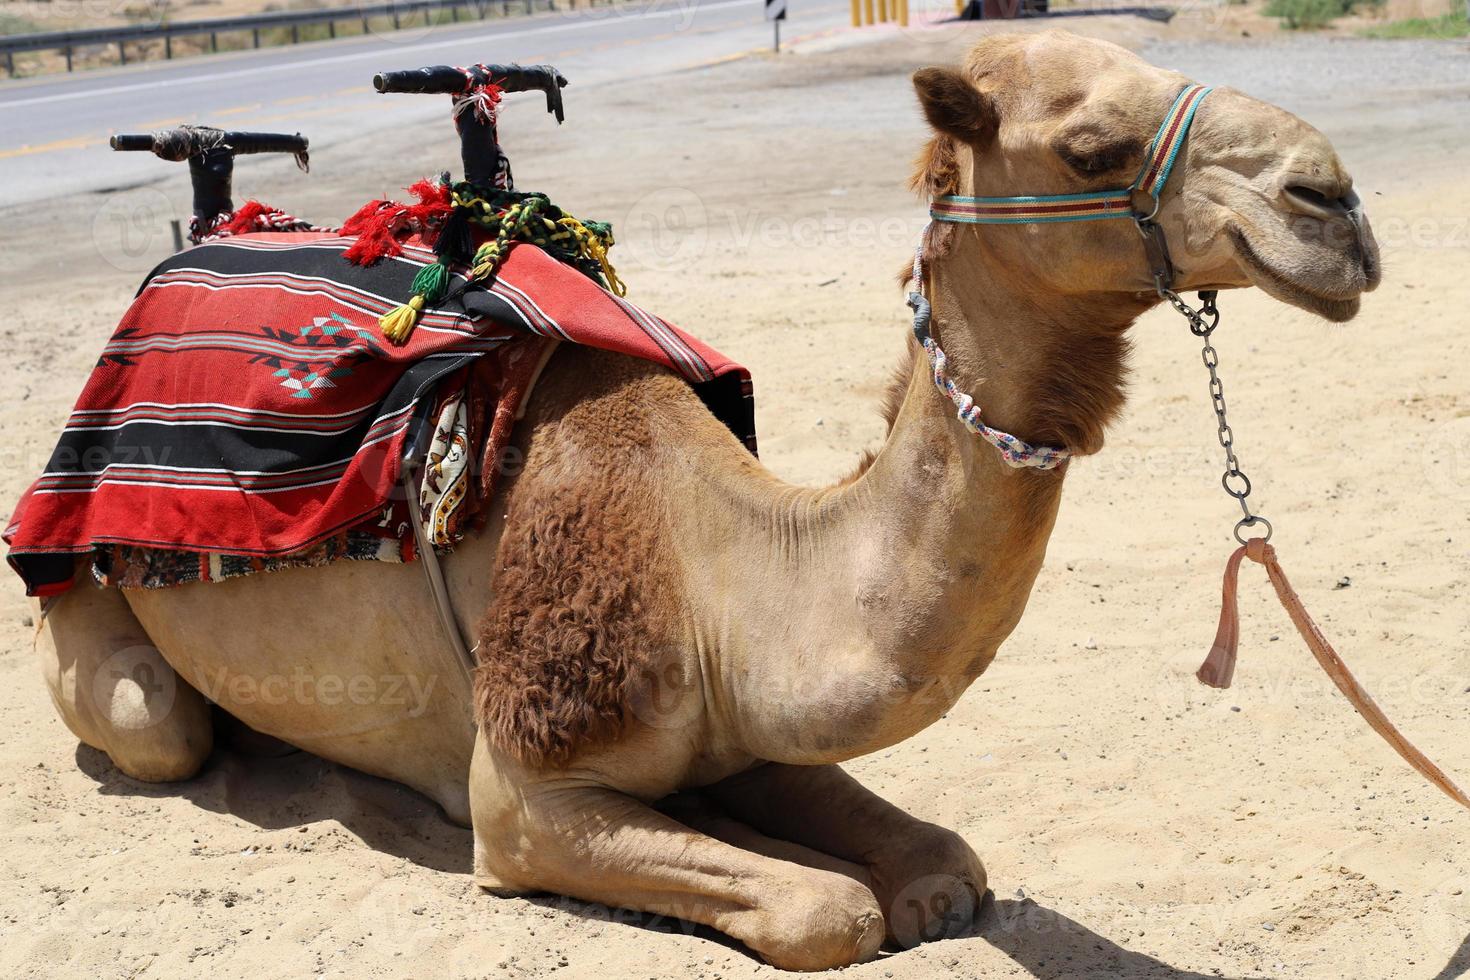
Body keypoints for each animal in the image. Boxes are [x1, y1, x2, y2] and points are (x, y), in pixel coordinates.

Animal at [34, 30, 1375, 975]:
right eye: (1090, 146)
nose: (1333, 202)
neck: (711, 559)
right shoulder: (523, 794)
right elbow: (829, 908)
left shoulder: (754, 722)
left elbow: (940, 866)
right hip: (95, 614)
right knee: (159, 716)